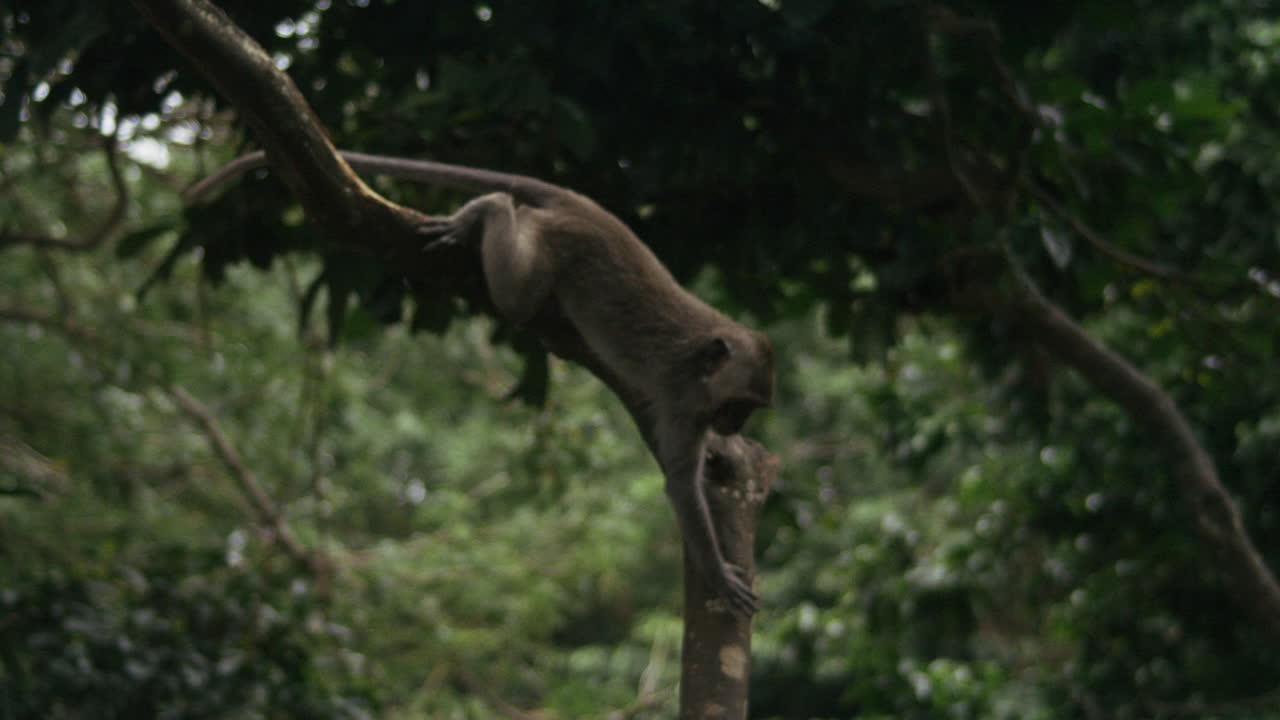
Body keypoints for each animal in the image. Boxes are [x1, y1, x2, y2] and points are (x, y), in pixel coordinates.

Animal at [188, 150, 775, 616]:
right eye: (740, 404)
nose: (733, 424)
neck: (705, 362)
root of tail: (580, 204)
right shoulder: (684, 399)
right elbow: (679, 483)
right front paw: (719, 574)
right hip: (554, 247)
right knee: (517, 294)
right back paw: (488, 208)